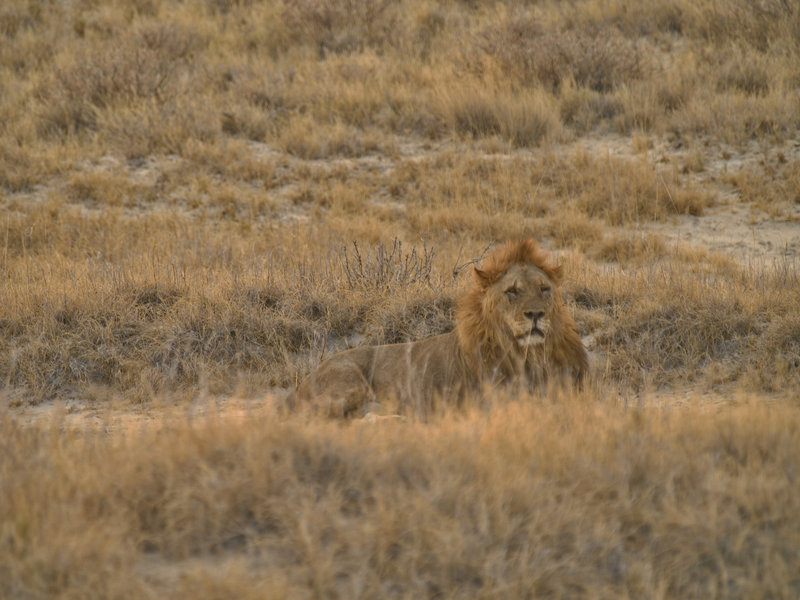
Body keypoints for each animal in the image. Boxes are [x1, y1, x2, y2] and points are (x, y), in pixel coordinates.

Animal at [290, 238, 588, 417]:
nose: (535, 314)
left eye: (544, 289)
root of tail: (304, 380)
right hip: (349, 385)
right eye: (512, 291)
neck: (529, 356)